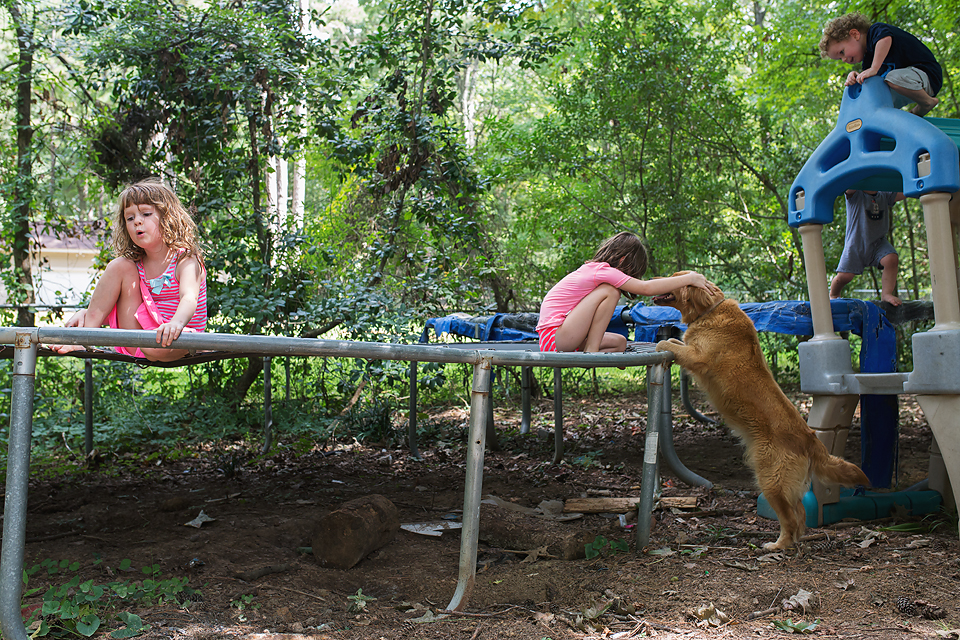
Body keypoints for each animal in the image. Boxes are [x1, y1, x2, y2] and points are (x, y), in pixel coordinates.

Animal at [652, 272, 872, 548]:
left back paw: (777, 545)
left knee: (791, 519)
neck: (709, 311)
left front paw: (660, 343)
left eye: (674, 279)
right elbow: (673, 340)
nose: (655, 279)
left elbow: (669, 343)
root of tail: (811, 440)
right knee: (800, 515)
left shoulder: (698, 357)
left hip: (771, 481)